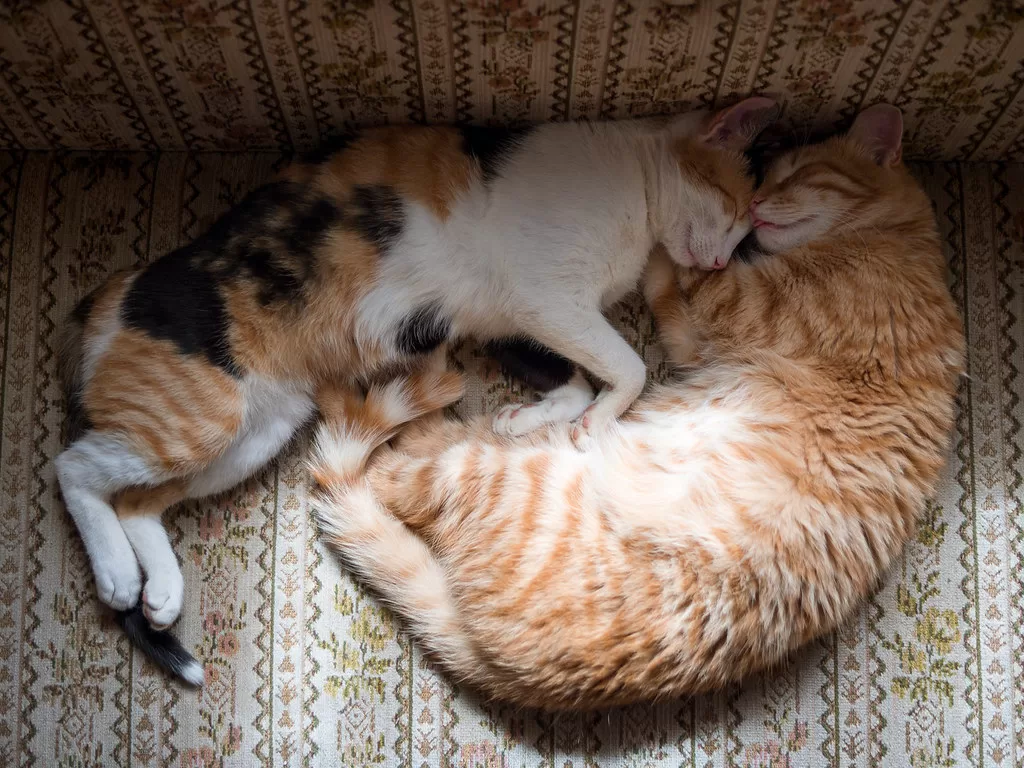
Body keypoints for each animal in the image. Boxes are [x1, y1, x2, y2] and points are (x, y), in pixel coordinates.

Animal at [56, 97, 774, 684]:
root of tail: (109, 294)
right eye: (738, 213)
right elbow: (628, 365)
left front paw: (526, 418)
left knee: (138, 502)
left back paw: (160, 592)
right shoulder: (551, 300)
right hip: (205, 417)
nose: (717, 262)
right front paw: (595, 421)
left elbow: (570, 377)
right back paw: (118, 575)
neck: (636, 190)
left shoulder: (507, 322)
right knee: (74, 468)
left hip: (253, 434)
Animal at [307, 105, 962, 712]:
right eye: (754, 196)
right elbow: (642, 340)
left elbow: (649, 334)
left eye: (795, 176)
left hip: (493, 470)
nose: (751, 220)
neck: (897, 241)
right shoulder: (588, 307)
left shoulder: (718, 310)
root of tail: (517, 672)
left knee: (393, 464)